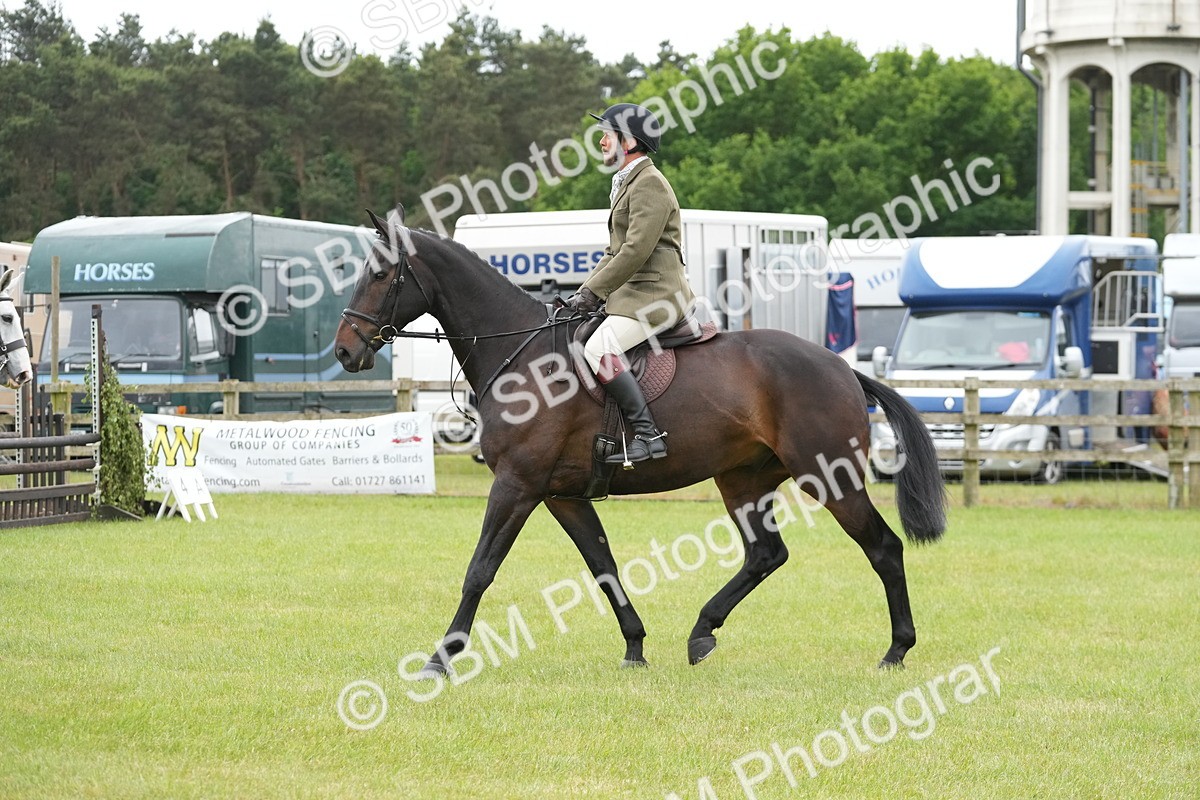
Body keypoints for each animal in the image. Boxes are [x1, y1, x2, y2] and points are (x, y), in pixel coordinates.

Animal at [334, 211, 946, 674]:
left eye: (382, 276)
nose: (345, 350)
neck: (521, 354)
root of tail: (842, 368)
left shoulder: (517, 484)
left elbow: (480, 569)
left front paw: (441, 657)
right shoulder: (560, 494)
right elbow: (602, 565)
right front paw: (634, 646)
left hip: (828, 475)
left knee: (883, 549)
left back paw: (896, 651)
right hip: (743, 479)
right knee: (766, 554)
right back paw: (702, 632)